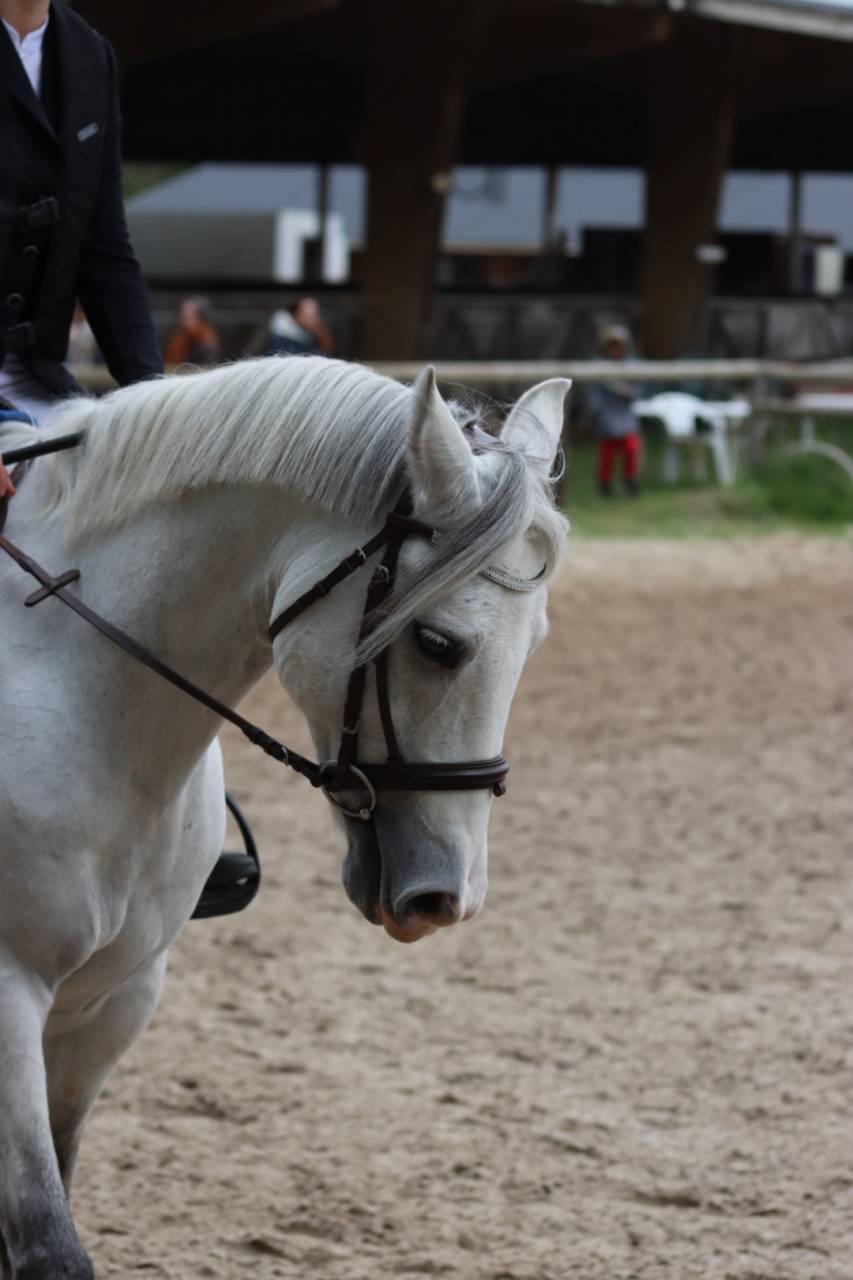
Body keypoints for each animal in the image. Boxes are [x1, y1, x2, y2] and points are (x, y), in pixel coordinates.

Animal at [0, 356, 569, 1278]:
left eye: (537, 642)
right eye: (437, 644)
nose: (443, 898)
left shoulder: (117, 999)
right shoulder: (9, 991)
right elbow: (50, 1245)